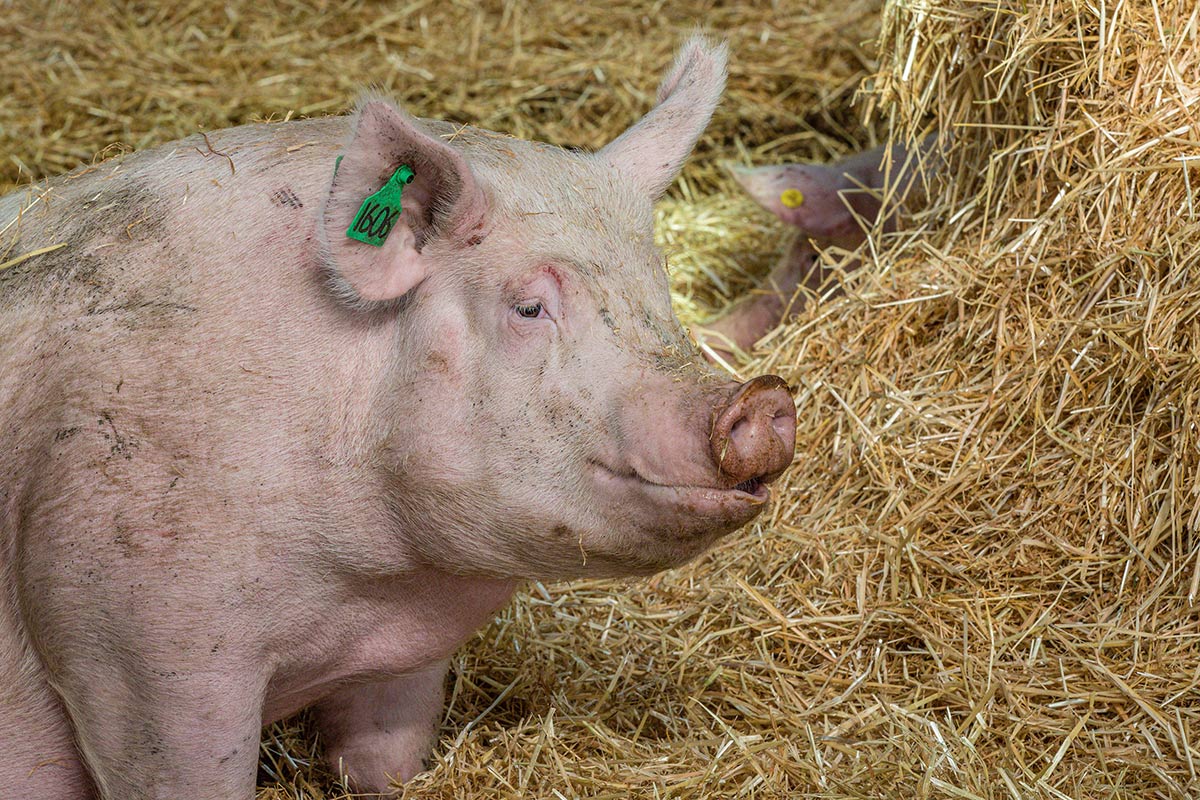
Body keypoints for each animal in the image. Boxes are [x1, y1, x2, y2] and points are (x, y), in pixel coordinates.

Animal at [0, 36, 797, 799]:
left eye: (660, 292)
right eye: (528, 308)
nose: (761, 399)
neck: (369, 584)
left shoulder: (406, 659)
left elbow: (386, 760)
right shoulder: (132, 635)